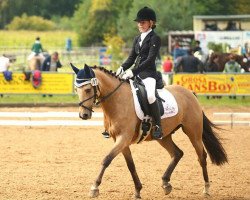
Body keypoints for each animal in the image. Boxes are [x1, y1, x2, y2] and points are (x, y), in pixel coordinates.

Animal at [71, 63, 228, 198]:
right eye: (76, 90)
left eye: (88, 89)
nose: (83, 115)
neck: (117, 100)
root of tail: (190, 93)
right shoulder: (121, 140)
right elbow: (131, 165)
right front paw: (137, 190)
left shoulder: (123, 138)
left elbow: (107, 159)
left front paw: (94, 188)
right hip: (164, 136)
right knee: (177, 153)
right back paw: (166, 183)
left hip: (193, 133)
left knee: (202, 156)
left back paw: (206, 189)